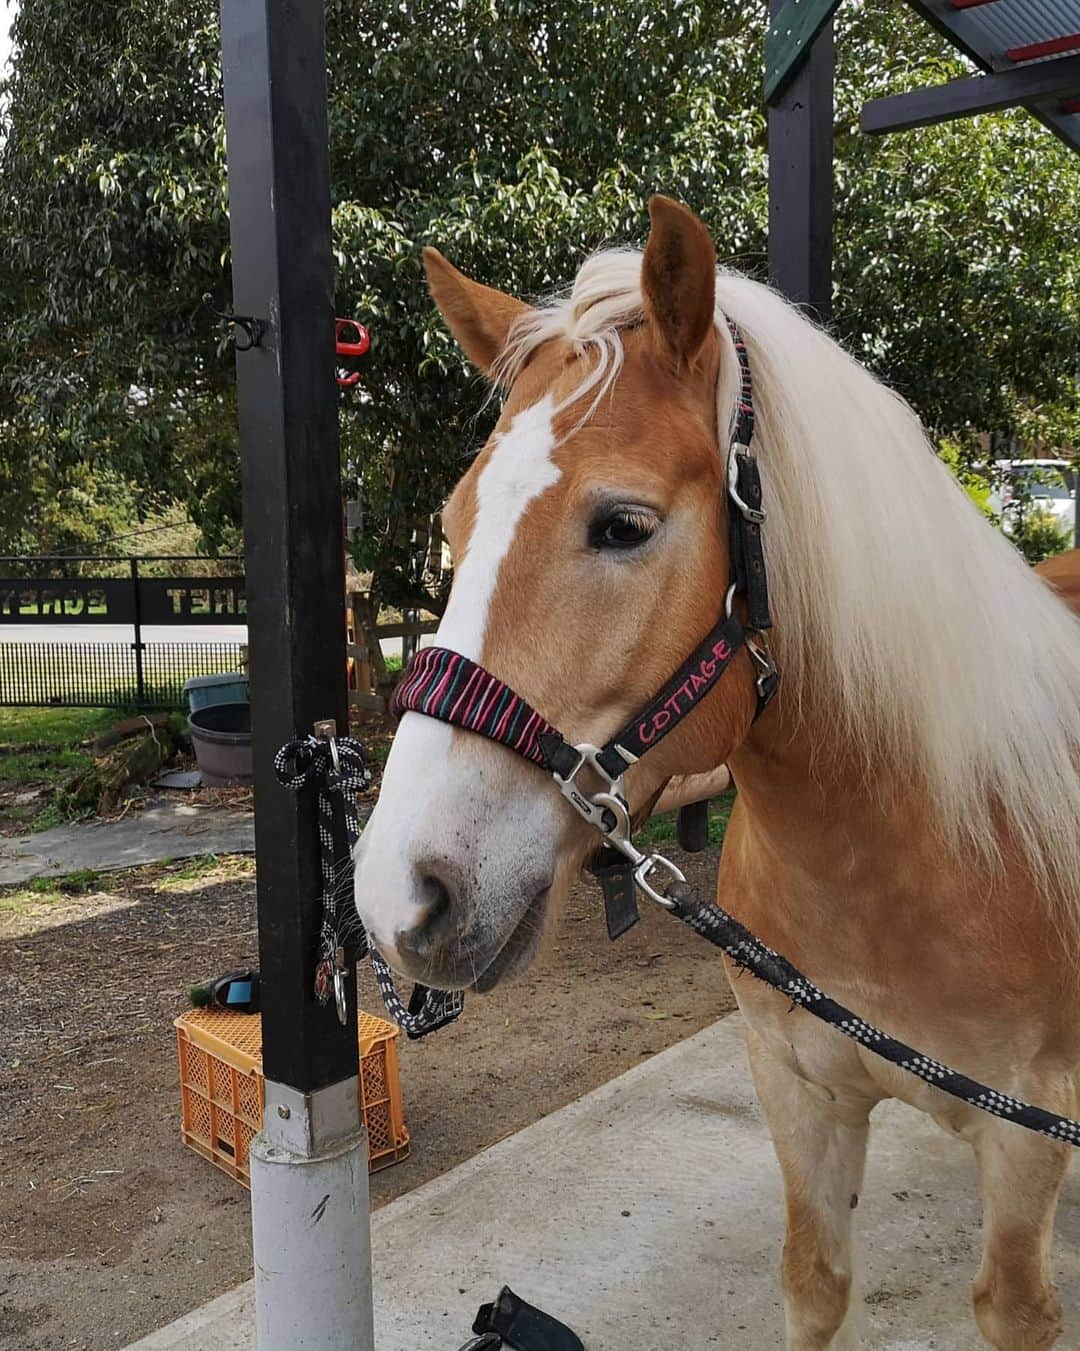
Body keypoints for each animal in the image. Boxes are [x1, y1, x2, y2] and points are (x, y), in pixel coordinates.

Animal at [356, 195, 1080, 1345]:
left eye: (623, 524)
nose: (399, 895)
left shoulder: (1025, 1142)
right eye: (454, 523)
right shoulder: (797, 1092)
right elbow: (814, 1281)